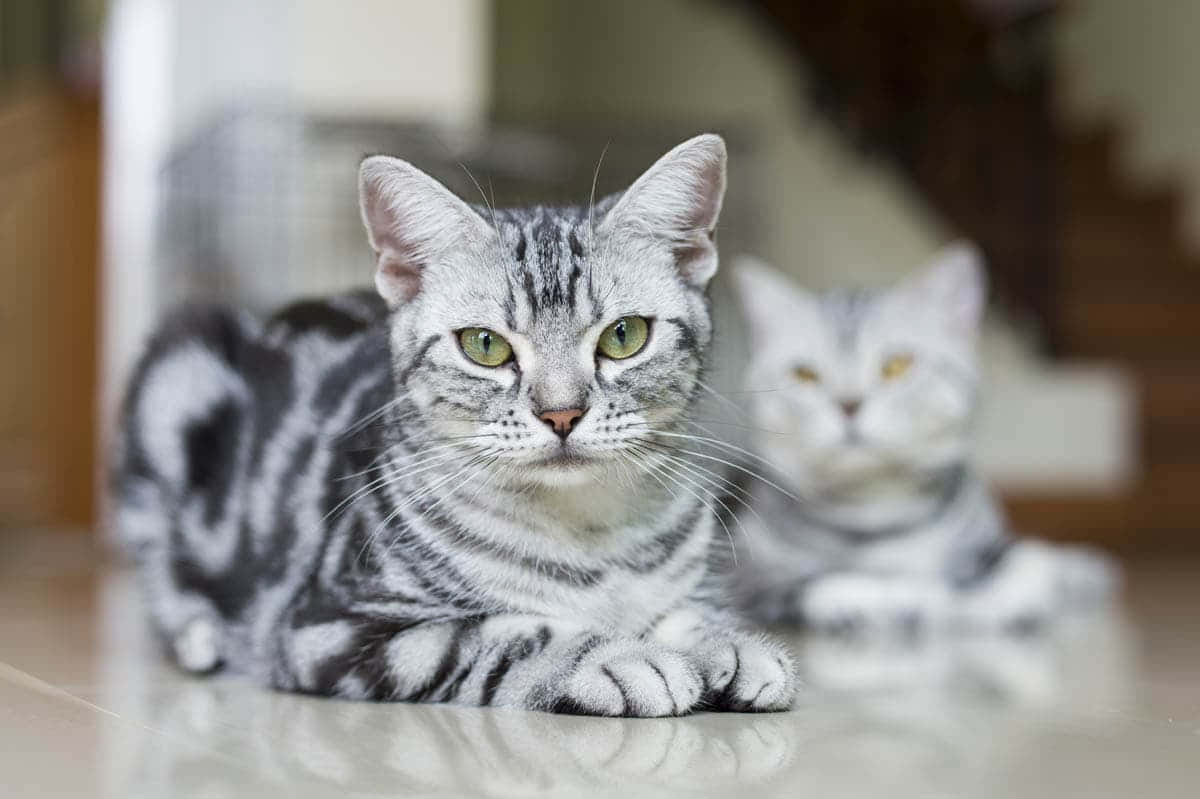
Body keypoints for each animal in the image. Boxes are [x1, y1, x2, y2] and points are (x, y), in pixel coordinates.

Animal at [114, 133, 796, 710]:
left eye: (624, 337)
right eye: (485, 346)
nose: (562, 412)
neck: (592, 537)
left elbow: (691, 611)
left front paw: (725, 642)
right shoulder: (333, 624)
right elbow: (504, 634)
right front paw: (620, 657)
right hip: (178, 374)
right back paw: (199, 635)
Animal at [729, 245, 1113, 633]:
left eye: (896, 365)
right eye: (805, 374)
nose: (849, 405)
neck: (884, 513)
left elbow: (1026, 568)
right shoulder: (743, 572)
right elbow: (839, 582)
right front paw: (914, 599)